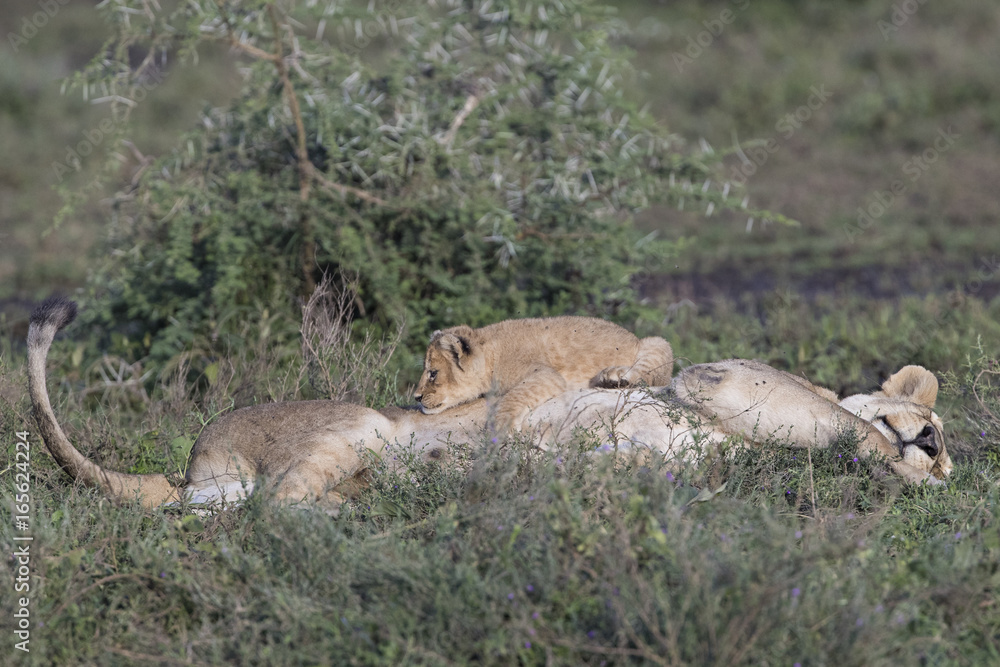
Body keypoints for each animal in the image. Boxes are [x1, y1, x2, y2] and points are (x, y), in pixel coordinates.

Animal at [413, 317, 674, 431]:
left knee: (646, 375)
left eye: (433, 373)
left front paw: (501, 426)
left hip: (658, 342)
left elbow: (514, 396)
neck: (490, 351)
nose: (416, 397)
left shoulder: (545, 374)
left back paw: (614, 376)